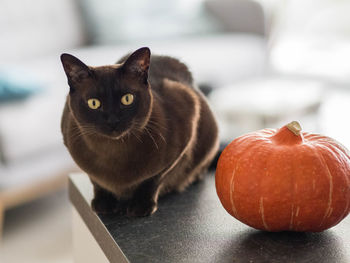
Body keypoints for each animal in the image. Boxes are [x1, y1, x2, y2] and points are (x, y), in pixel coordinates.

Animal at [60, 48, 219, 218]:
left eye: (127, 99)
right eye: (94, 103)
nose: (113, 121)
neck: (113, 153)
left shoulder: (186, 122)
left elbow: (153, 180)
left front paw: (140, 207)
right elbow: (96, 181)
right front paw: (103, 205)